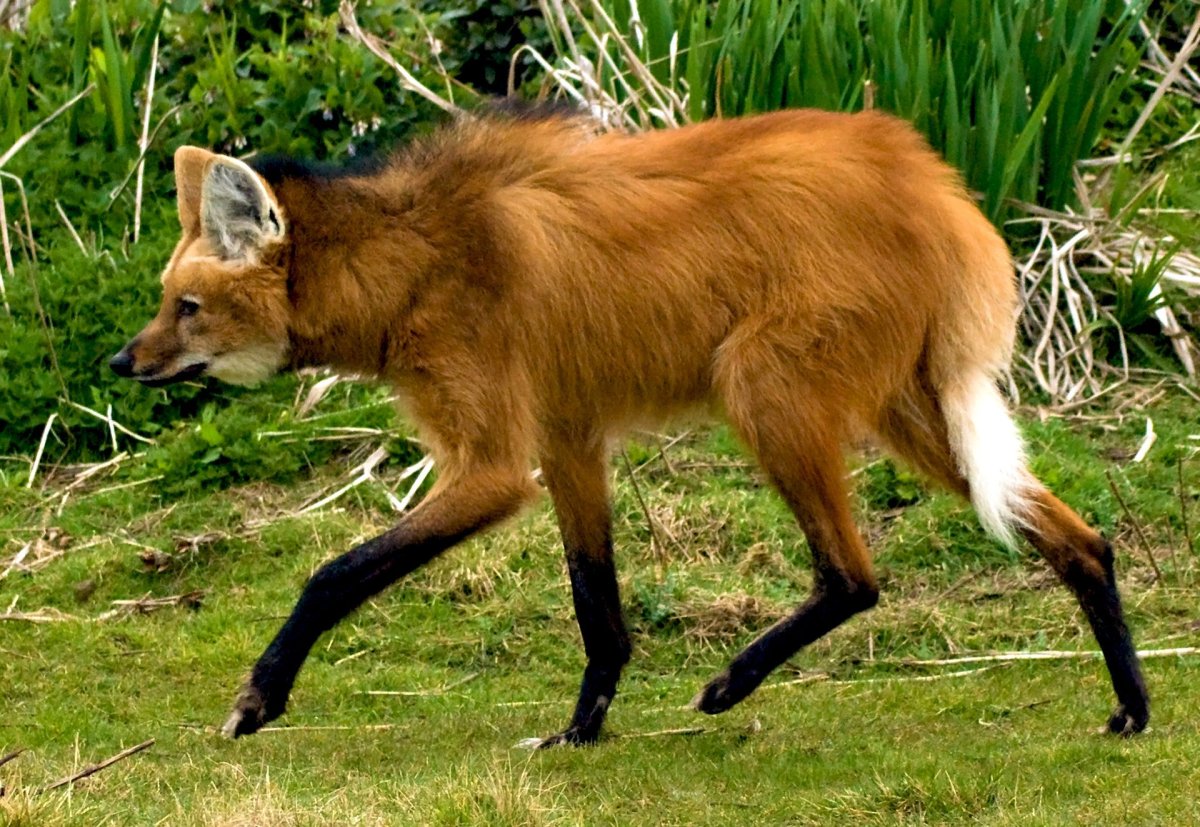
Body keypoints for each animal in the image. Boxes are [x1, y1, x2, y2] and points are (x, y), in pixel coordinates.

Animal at [110, 104, 1149, 746]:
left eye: (188, 308)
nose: (122, 362)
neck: (409, 263)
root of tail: (932, 182)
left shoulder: (496, 463)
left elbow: (334, 572)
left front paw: (258, 697)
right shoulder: (567, 435)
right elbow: (596, 604)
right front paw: (580, 731)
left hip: (763, 385)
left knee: (854, 576)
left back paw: (729, 683)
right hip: (907, 409)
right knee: (1078, 538)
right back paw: (1132, 708)